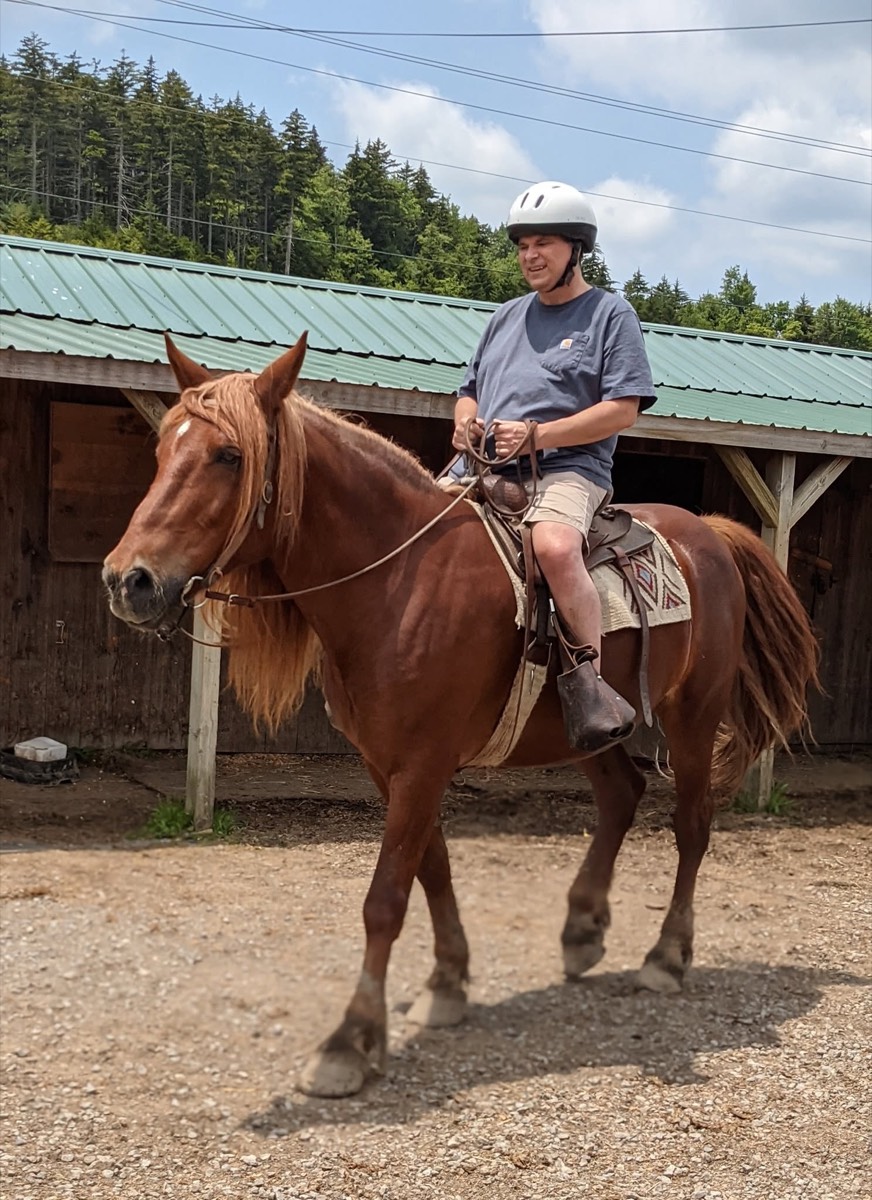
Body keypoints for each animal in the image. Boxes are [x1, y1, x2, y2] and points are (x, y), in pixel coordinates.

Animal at [103, 333, 819, 1098]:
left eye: (228, 455)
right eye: (162, 449)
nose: (129, 580)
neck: (402, 579)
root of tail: (709, 534)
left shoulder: (422, 764)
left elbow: (386, 897)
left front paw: (350, 1041)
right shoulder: (390, 765)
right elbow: (433, 870)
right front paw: (447, 984)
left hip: (692, 719)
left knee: (690, 827)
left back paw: (666, 956)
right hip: (590, 727)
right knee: (622, 797)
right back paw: (582, 928)